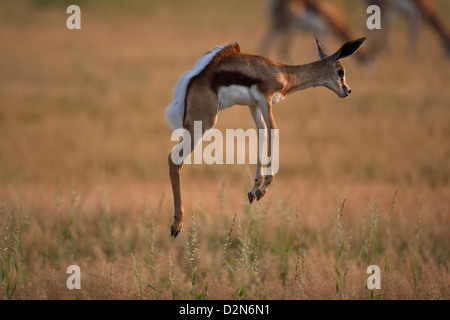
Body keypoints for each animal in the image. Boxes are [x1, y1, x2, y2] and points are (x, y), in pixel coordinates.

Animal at [165, 37, 366, 238]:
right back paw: (176, 225)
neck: (281, 72)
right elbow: (273, 129)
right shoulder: (265, 98)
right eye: (340, 71)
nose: (347, 90)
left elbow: (261, 131)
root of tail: (192, 81)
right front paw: (264, 188)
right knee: (174, 159)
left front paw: (255, 189)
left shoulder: (254, 104)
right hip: (203, 124)